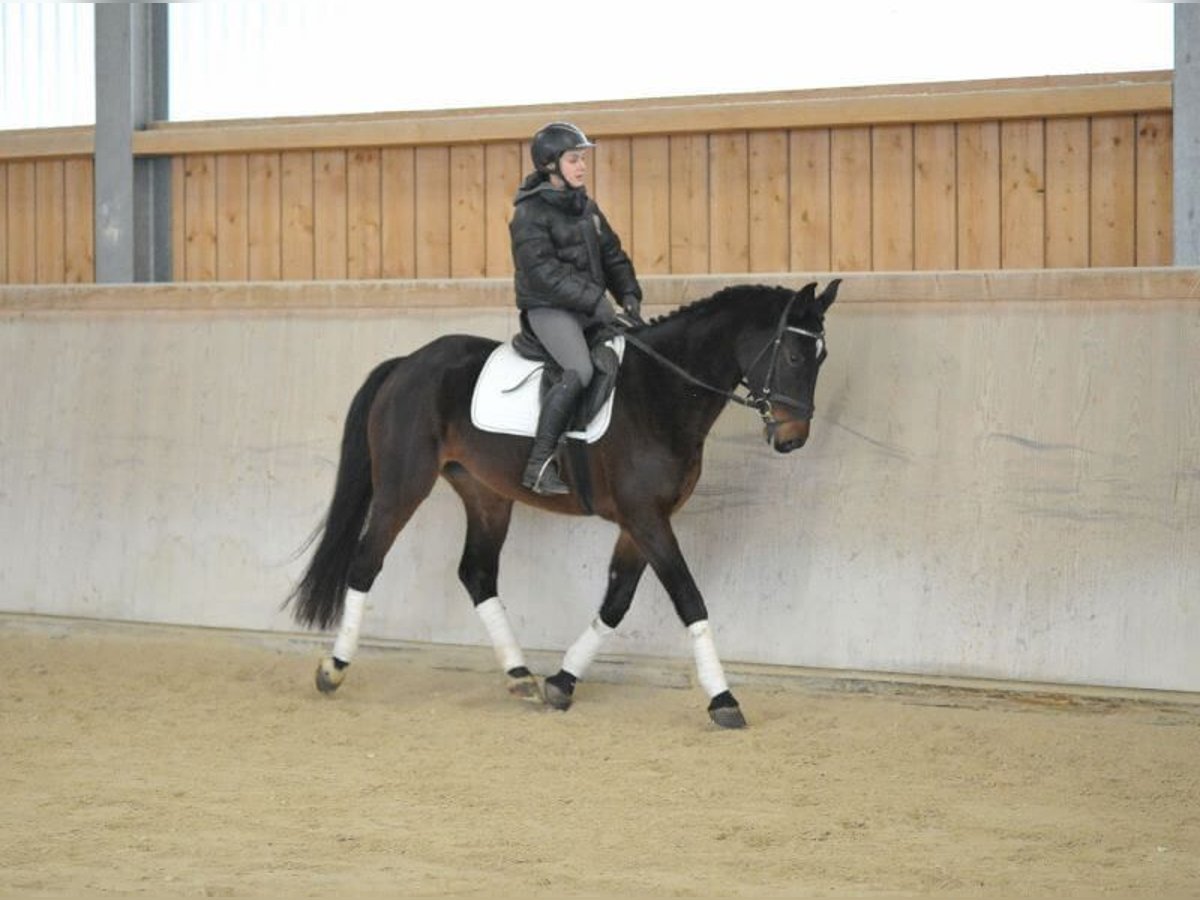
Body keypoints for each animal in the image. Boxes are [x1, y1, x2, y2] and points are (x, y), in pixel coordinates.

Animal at [286, 282, 840, 734]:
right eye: (795, 357)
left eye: (822, 358)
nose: (792, 438)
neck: (660, 393)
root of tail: (407, 363)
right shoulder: (647, 518)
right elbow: (689, 599)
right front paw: (723, 699)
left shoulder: (641, 523)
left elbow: (615, 602)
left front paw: (562, 681)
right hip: (404, 484)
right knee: (367, 562)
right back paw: (333, 669)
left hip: (486, 495)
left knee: (477, 573)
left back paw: (521, 677)